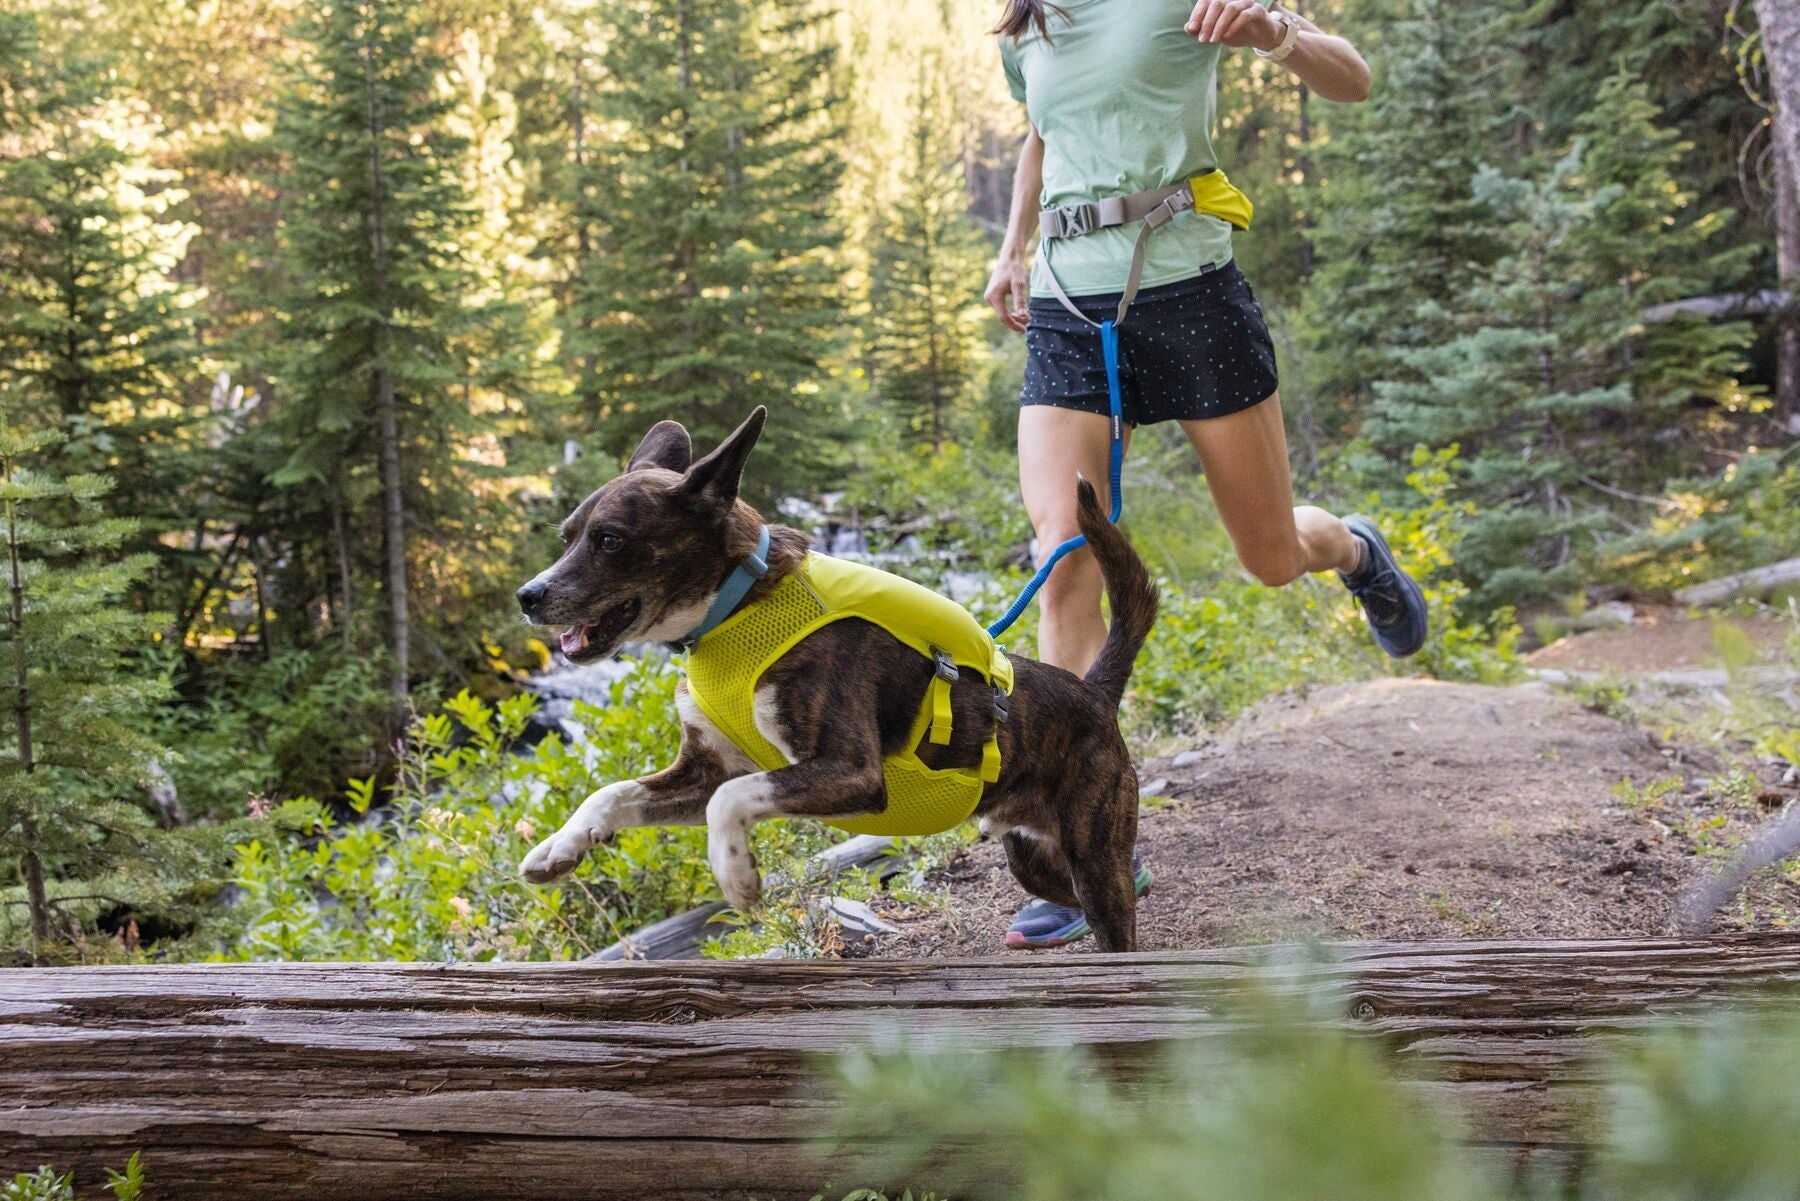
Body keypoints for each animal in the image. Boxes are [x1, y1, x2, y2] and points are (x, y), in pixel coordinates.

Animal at [511, 408, 1152, 950]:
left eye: (610, 539)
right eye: (567, 536)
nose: (527, 595)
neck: (735, 610)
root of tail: (1094, 693)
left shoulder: (849, 771)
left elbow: (727, 801)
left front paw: (736, 874)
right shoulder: (704, 768)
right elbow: (614, 792)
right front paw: (560, 846)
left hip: (1092, 854)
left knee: (1118, 921)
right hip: (1035, 858)